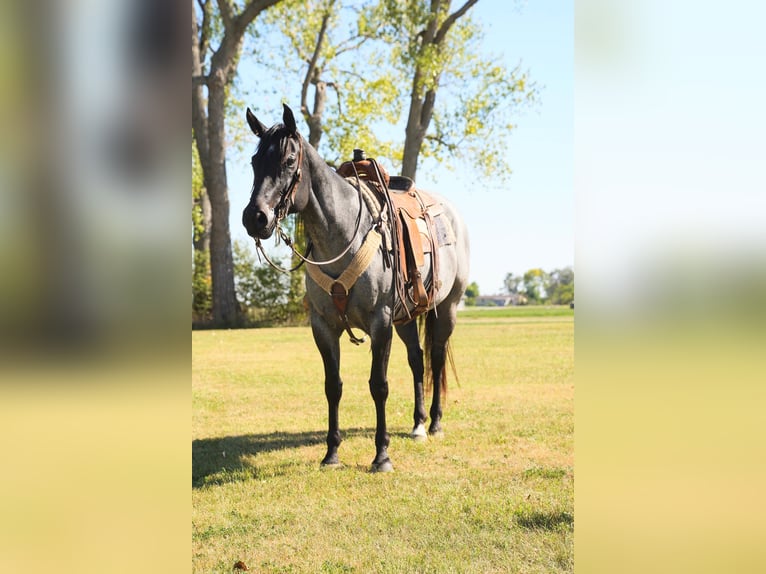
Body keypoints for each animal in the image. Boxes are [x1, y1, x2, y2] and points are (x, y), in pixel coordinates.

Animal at [242, 104, 470, 472]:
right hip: (406, 318)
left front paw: (382, 456)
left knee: (434, 357)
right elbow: (332, 386)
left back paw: (435, 423)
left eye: (289, 161)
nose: (255, 217)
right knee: (417, 360)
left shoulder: (380, 323)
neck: (344, 233)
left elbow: (379, 386)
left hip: (446, 308)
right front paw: (332, 453)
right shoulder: (323, 326)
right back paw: (418, 424)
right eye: (254, 161)